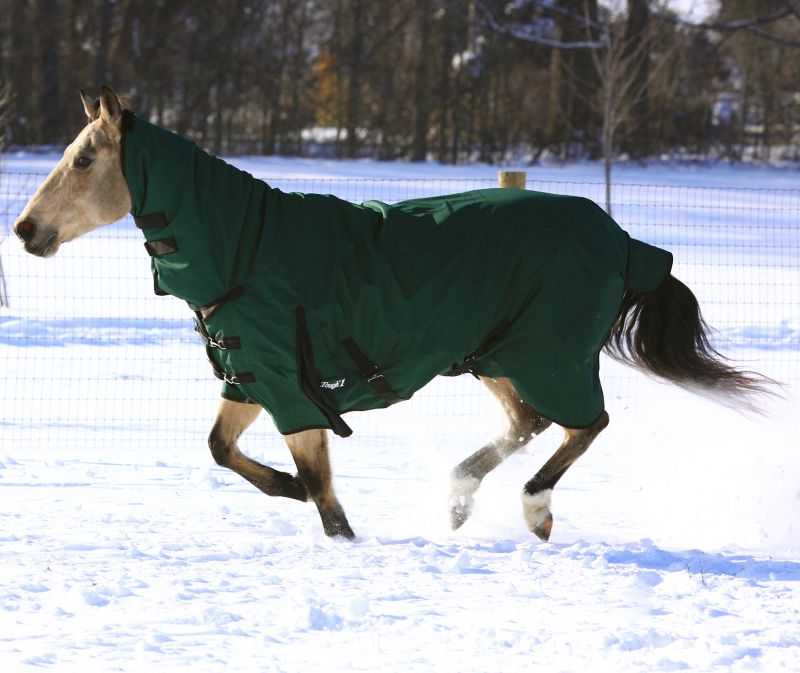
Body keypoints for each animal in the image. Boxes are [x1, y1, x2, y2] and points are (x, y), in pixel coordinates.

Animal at [12, 88, 776, 540]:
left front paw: (330, 526)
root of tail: (622, 239)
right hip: (493, 353)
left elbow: (325, 499)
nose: (25, 230)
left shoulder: (293, 390)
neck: (244, 252)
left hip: (546, 354)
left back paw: (534, 508)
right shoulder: (250, 377)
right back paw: (461, 501)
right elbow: (221, 449)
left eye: (83, 161)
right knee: (531, 423)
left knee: (586, 422)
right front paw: (284, 490)